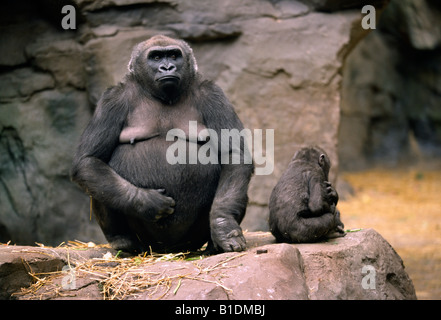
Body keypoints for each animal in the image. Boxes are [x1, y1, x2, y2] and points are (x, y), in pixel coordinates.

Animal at [70, 35, 253, 254]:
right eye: (156, 57)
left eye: (174, 55)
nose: (167, 67)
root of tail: (169, 251)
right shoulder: (112, 99)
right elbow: (89, 160)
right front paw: (147, 201)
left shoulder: (213, 95)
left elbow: (234, 155)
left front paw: (223, 225)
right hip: (149, 243)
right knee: (97, 179)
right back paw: (122, 241)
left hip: (189, 242)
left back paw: (211, 245)